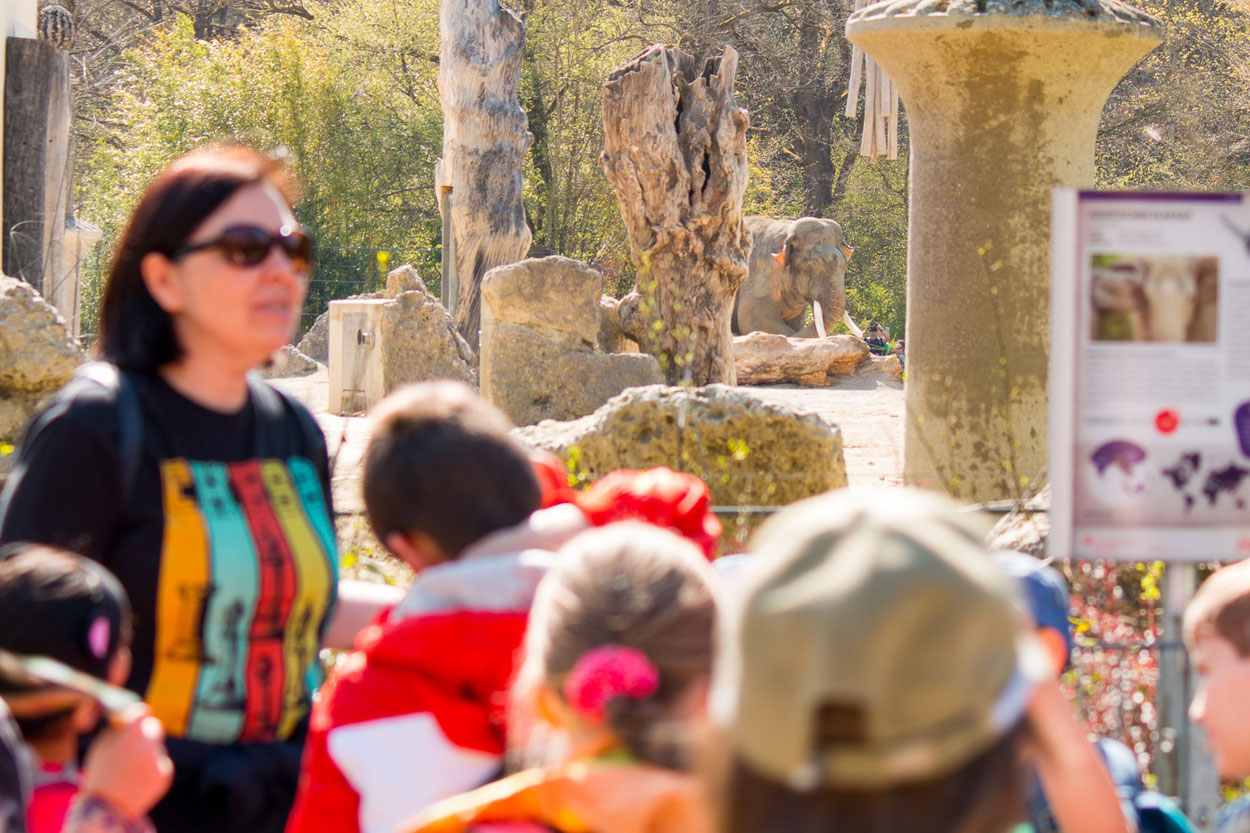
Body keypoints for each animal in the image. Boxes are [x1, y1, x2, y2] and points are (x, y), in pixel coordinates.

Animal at [730, 217, 865, 340]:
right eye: (813, 263)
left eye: (845, 263)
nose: (864, 333)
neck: (787, 230)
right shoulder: (759, 274)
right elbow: (753, 321)